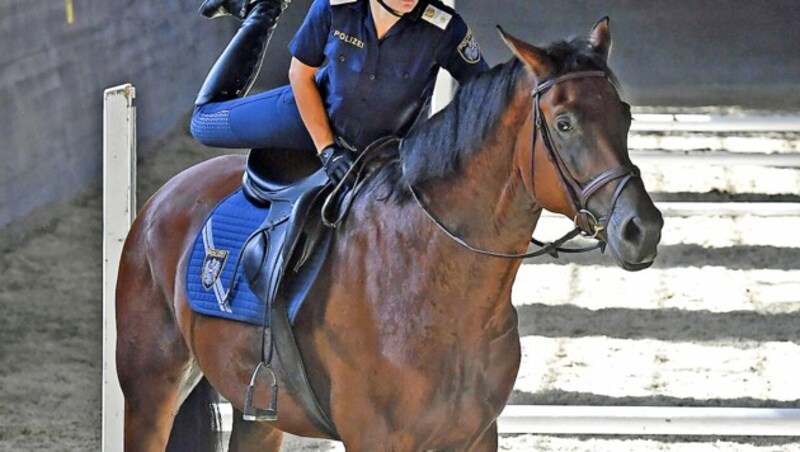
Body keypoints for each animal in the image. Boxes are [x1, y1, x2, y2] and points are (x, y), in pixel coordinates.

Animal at [114, 18, 664, 452]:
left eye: (625, 114)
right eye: (564, 123)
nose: (642, 228)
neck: (433, 278)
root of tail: (164, 198)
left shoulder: (476, 435)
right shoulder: (374, 438)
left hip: (259, 417)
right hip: (150, 394)